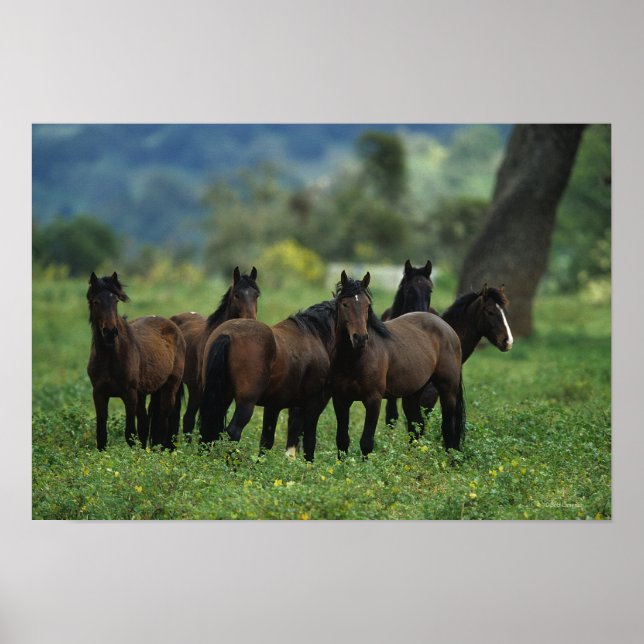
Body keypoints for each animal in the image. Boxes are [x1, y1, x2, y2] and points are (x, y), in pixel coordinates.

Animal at [86, 272, 186, 450]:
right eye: (96, 302)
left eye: (116, 301)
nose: (110, 332)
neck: (110, 358)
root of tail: (175, 327)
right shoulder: (99, 394)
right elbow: (101, 435)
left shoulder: (129, 394)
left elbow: (130, 434)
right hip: (144, 393)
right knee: (146, 423)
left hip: (169, 387)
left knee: (162, 422)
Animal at [170, 267, 259, 441]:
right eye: (237, 295)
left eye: (257, 294)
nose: (250, 321)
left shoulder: (227, 392)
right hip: (193, 388)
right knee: (188, 418)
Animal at [198, 300, 335, 461]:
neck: (314, 335)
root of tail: (227, 335)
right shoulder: (313, 404)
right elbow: (308, 440)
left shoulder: (274, 405)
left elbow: (267, 440)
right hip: (246, 402)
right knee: (233, 431)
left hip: (222, 396)